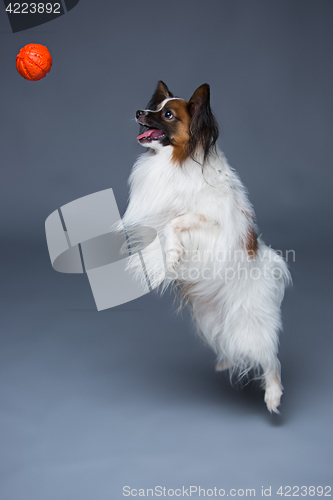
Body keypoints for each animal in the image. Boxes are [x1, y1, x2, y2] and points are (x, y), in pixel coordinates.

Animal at [120, 80, 290, 412]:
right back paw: (225, 362)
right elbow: (163, 227)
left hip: (250, 326)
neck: (179, 161)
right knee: (230, 345)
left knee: (270, 359)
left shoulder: (212, 225)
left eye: (168, 115)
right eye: (155, 107)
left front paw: (173, 255)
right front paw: (166, 256)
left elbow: (177, 221)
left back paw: (273, 394)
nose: (138, 112)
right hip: (213, 320)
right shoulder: (154, 220)